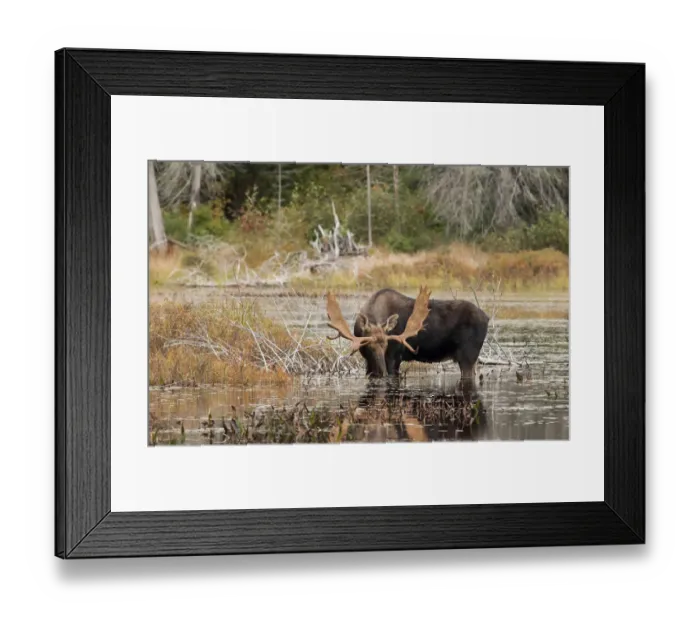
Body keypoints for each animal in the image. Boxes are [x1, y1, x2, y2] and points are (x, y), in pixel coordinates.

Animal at [325, 286, 490, 386]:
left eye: (386, 345)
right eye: (368, 346)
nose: (382, 372)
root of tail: (487, 317)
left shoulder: (394, 357)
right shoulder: (368, 361)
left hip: (468, 356)